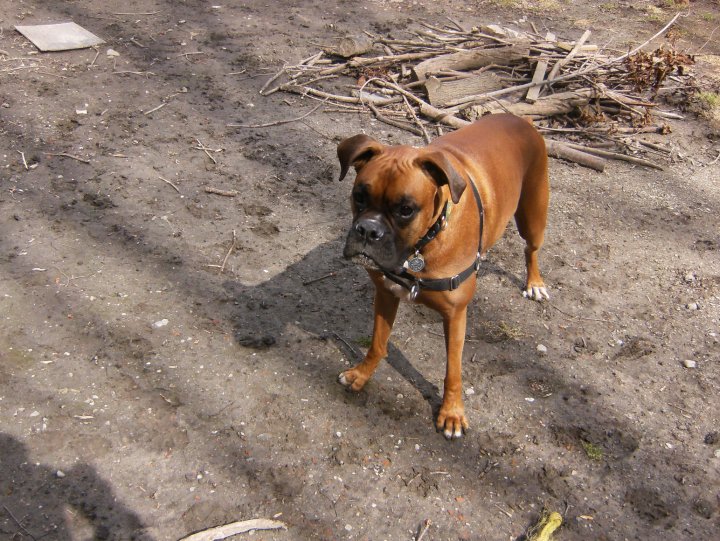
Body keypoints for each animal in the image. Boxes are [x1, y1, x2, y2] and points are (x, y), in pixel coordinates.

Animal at [336, 114, 544, 438]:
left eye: (406, 209)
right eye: (359, 196)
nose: (368, 230)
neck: (424, 243)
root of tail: (517, 117)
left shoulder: (456, 316)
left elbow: (452, 370)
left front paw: (452, 412)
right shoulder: (385, 294)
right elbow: (378, 344)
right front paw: (362, 374)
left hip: (533, 215)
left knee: (531, 249)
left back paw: (534, 283)